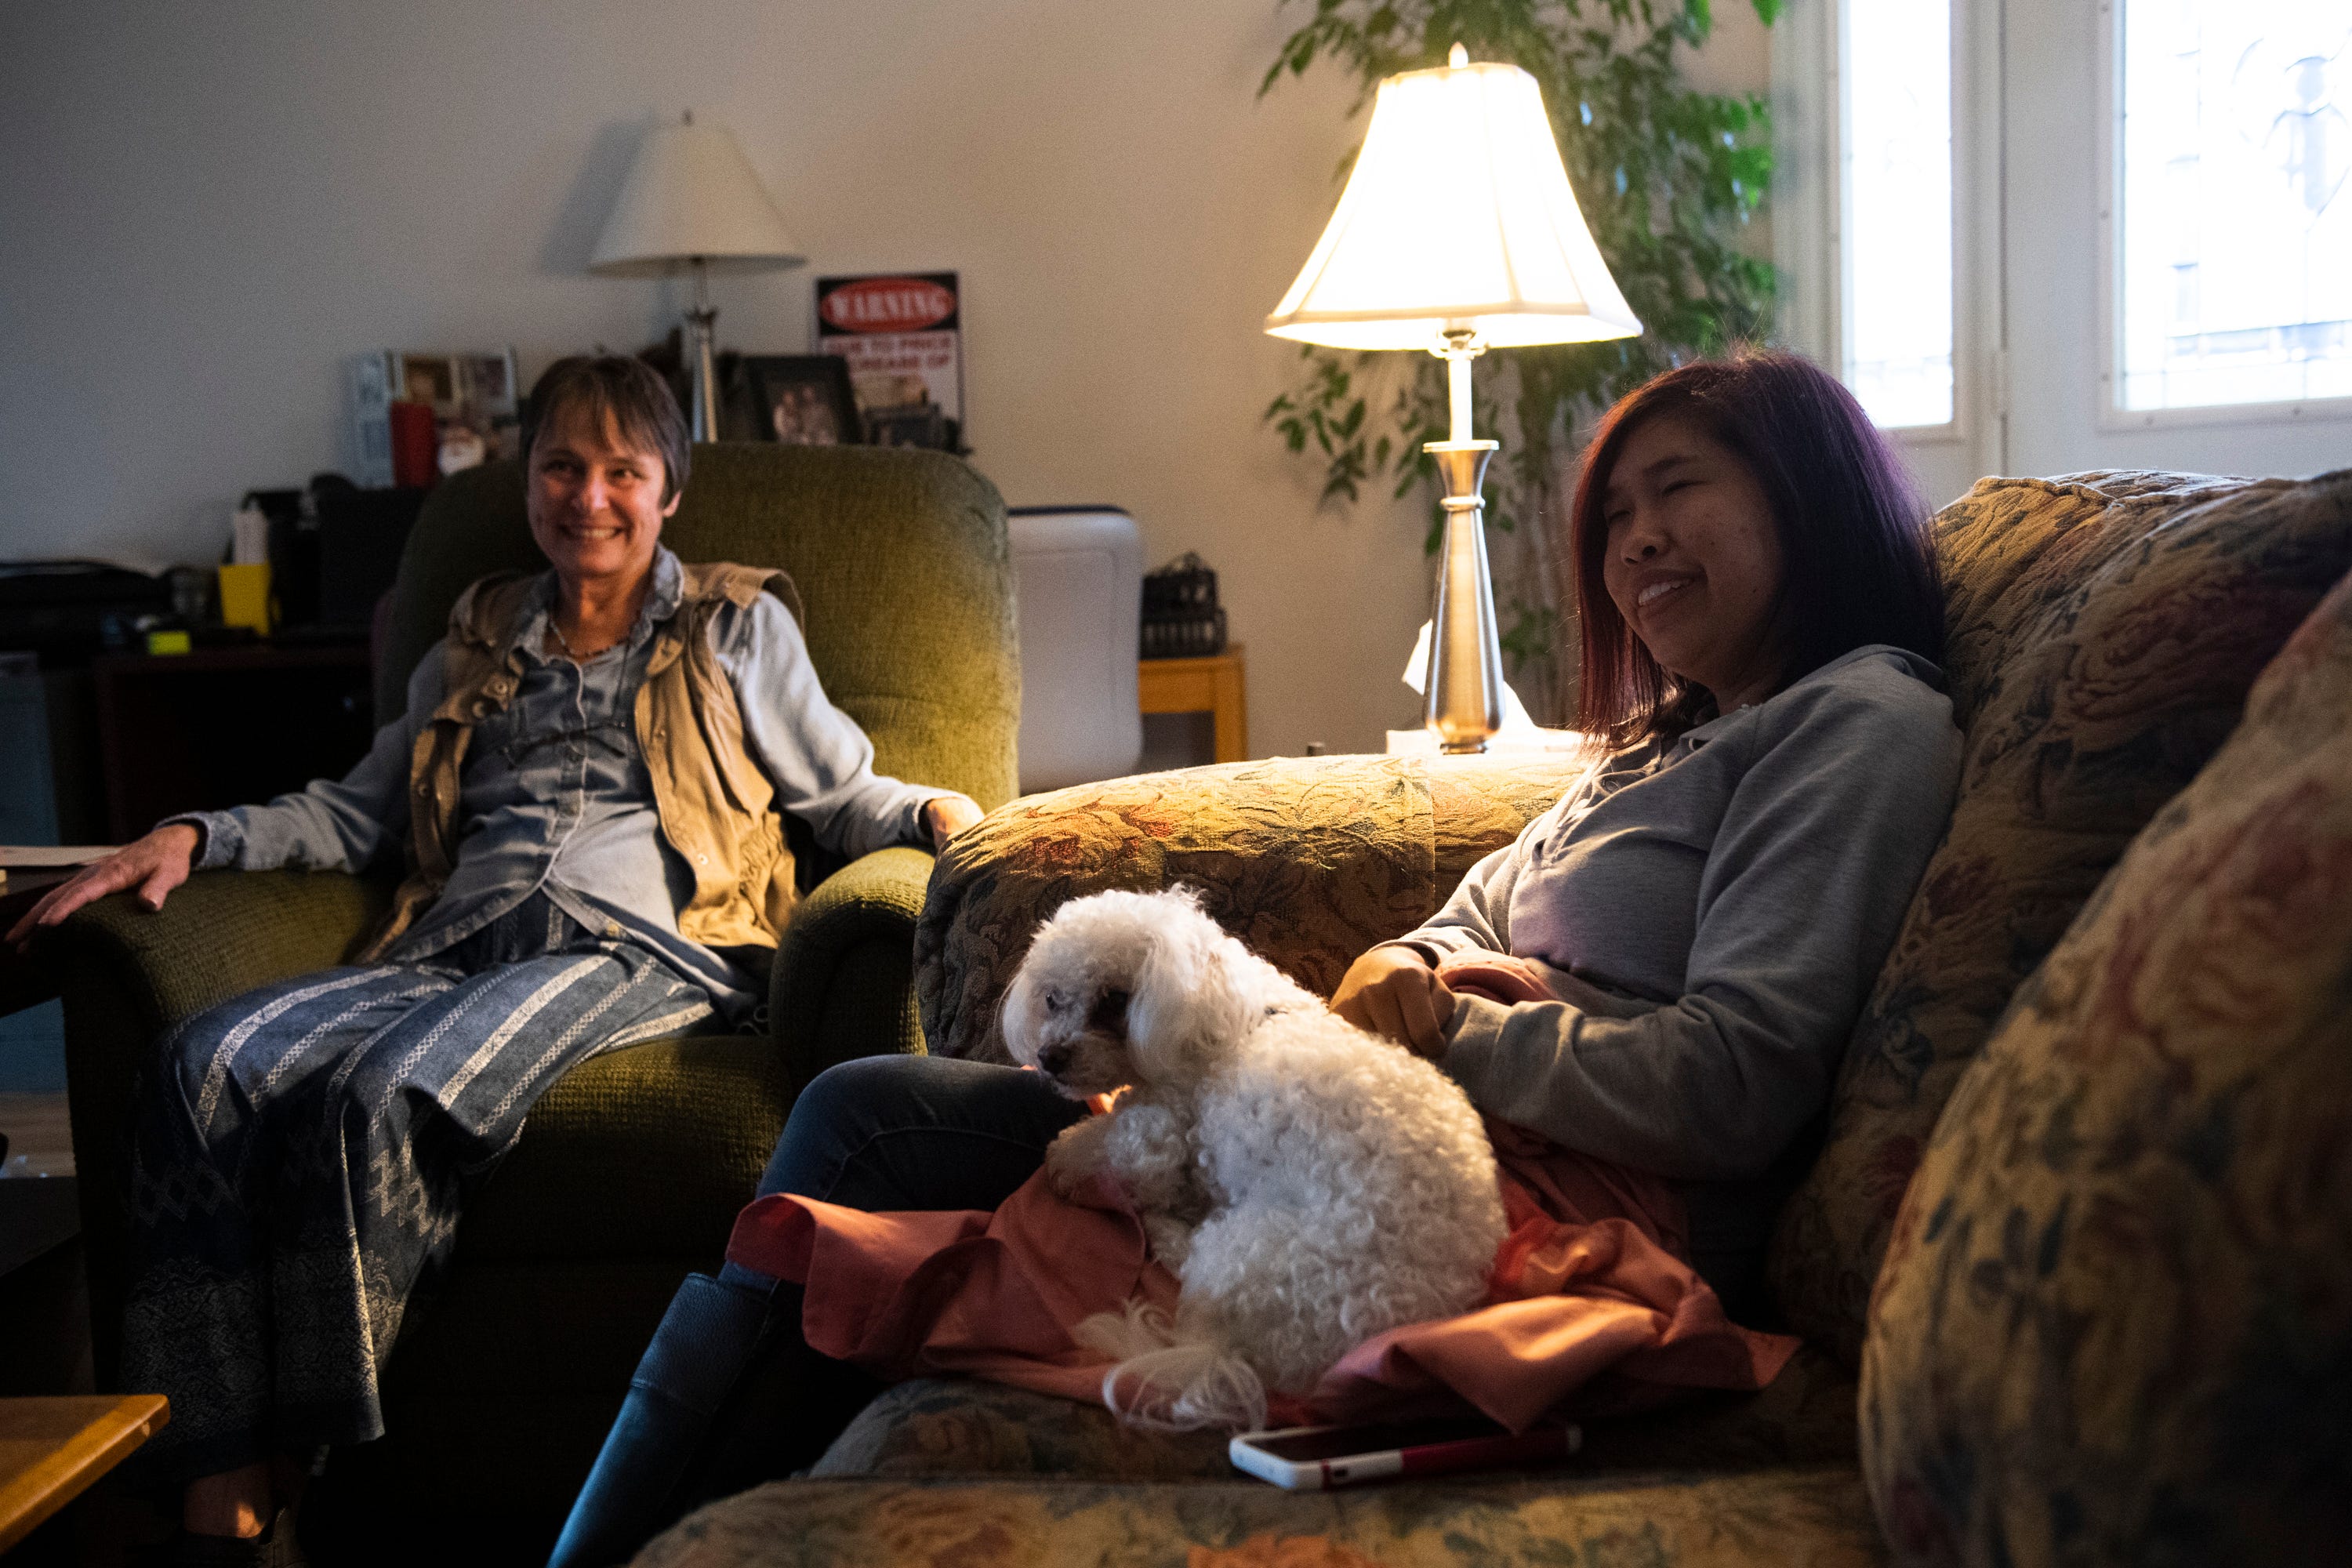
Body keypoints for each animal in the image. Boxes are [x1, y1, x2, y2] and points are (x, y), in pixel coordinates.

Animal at [997, 888, 1505, 1429]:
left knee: (1187, 1266)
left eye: (1114, 1000)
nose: (1049, 1057)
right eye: (1052, 998)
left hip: (1242, 1252)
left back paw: (1167, 1231)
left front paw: (1066, 1162)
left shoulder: (1160, 1132)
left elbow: (1103, 1147)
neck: (1226, 1016)